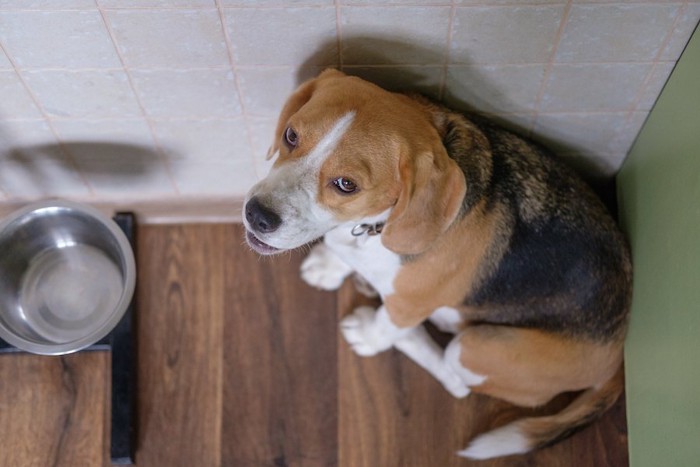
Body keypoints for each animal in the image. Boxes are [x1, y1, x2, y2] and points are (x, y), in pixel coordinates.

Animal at [243, 69, 632, 460]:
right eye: (291, 135)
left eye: (346, 185)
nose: (256, 215)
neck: (375, 227)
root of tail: (619, 351)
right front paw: (329, 265)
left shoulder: (409, 303)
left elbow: (387, 324)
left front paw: (370, 333)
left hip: (475, 348)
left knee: (454, 376)